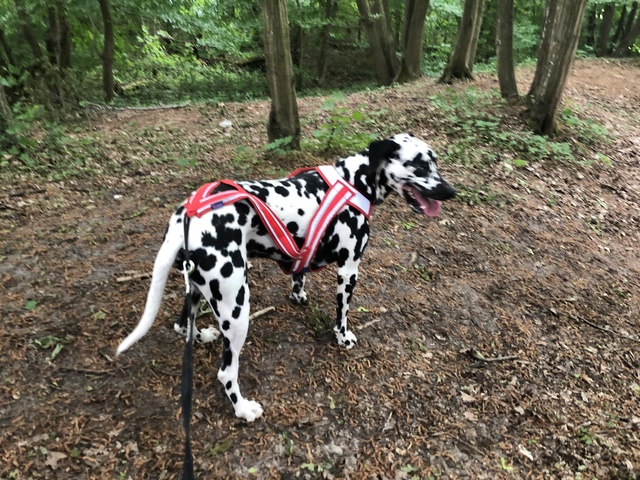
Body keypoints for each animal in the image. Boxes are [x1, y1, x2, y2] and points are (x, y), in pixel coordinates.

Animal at [115, 133, 456, 422]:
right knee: (226, 373)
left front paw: (298, 294)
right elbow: (342, 314)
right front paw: (342, 337)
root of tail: (185, 219)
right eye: (420, 165)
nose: (450, 192)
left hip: (199, 290)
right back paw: (244, 410)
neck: (354, 181)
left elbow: (298, 275)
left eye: (434, 161)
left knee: (182, 324)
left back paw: (202, 336)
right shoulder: (349, 270)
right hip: (236, 308)